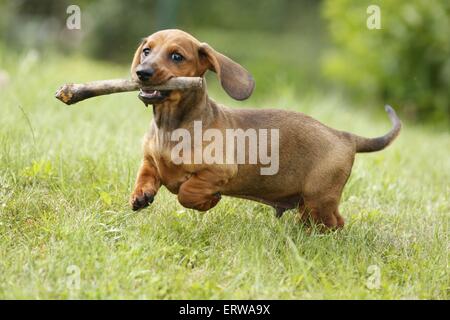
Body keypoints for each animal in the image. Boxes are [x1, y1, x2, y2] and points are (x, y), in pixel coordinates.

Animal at [129, 28, 400, 229]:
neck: (171, 126)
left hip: (320, 197)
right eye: (146, 51)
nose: (142, 73)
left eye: (176, 56)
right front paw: (140, 195)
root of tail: (344, 136)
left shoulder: (219, 170)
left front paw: (208, 201)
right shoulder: (150, 160)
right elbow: (146, 175)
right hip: (311, 202)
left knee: (336, 223)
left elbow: (187, 192)